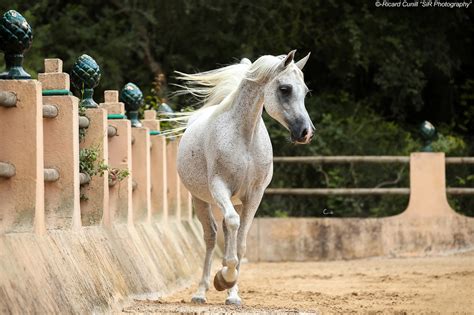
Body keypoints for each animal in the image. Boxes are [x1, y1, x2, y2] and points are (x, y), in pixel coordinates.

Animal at [176, 51, 312, 306]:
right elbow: (231, 226)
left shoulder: (254, 195)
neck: (244, 138)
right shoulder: (219, 187)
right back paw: (201, 291)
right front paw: (224, 278)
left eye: (306, 91)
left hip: (234, 201)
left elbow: (241, 241)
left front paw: (232, 291)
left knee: (228, 231)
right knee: (211, 236)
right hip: (201, 199)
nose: (305, 132)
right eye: (285, 89)